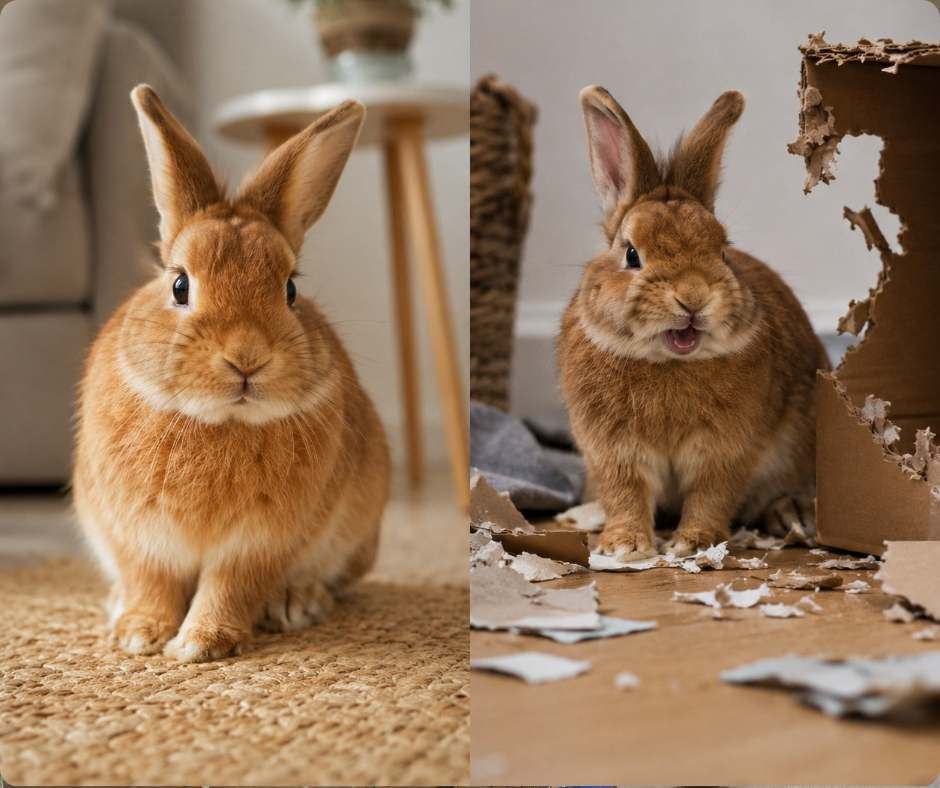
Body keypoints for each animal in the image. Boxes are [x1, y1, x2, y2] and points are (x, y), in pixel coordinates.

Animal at [72, 85, 390, 662]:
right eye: (179, 285)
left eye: (290, 288)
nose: (247, 357)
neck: (219, 421)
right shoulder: (139, 536)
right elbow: (151, 580)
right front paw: (140, 634)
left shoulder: (259, 544)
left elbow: (231, 586)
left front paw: (203, 643)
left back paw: (297, 602)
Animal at [558, 86, 829, 562]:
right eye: (632, 254)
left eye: (722, 251)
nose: (694, 297)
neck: (668, 363)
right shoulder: (612, 451)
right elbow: (625, 493)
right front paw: (625, 546)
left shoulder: (725, 451)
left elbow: (711, 494)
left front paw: (693, 544)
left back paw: (792, 514)